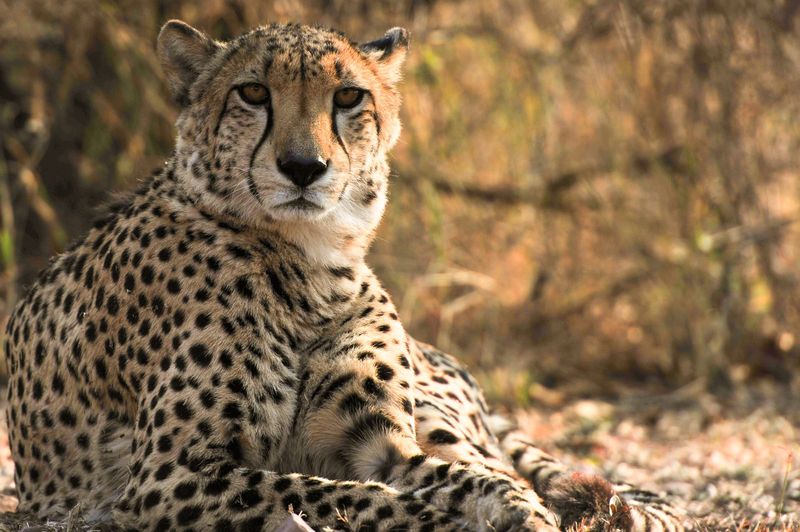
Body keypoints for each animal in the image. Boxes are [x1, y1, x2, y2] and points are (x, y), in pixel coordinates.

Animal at [3, 20, 686, 531]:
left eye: (349, 97)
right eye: (253, 94)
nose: (304, 167)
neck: (312, 265)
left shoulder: (380, 445)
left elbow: (471, 483)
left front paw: (522, 514)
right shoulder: (170, 475)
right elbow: (339, 495)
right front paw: (448, 520)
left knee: (507, 465)